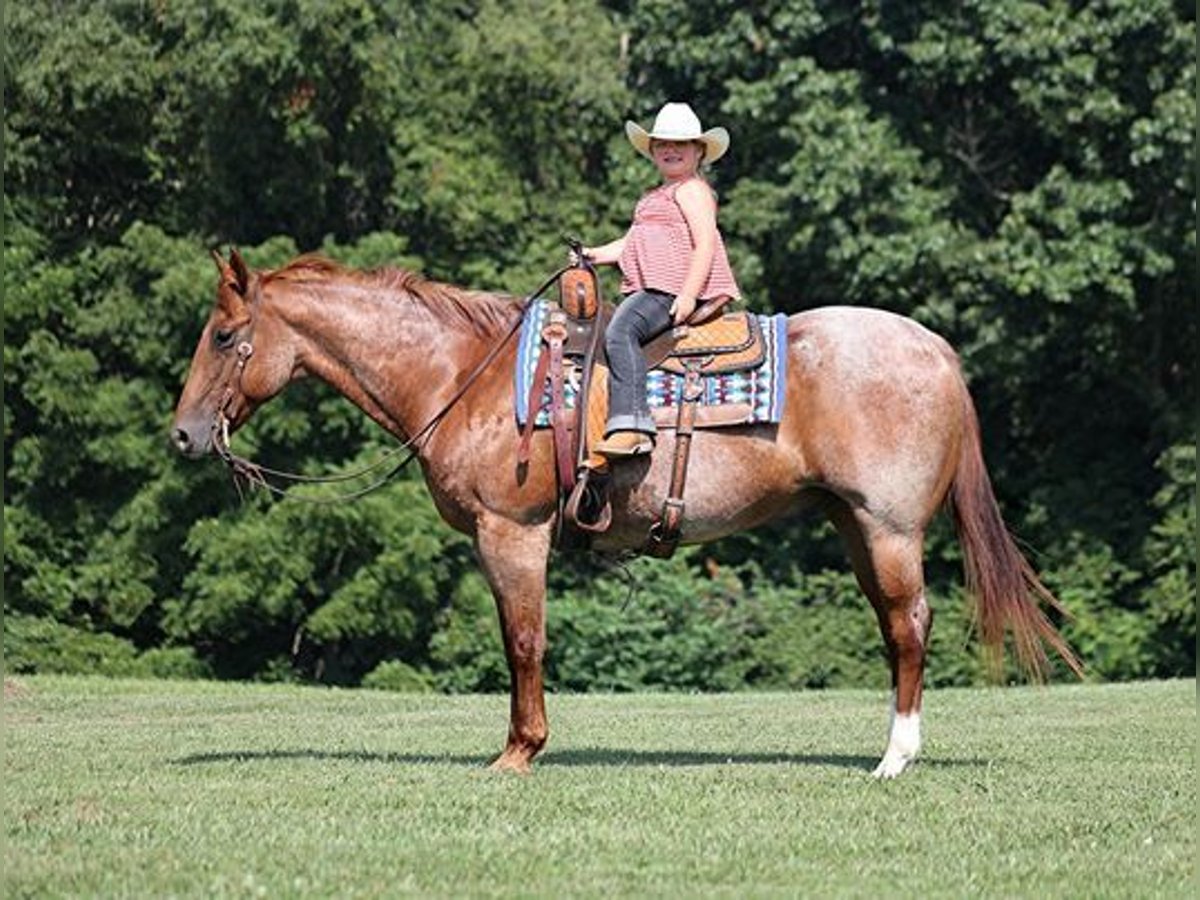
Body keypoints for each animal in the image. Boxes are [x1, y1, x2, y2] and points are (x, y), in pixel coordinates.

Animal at [174, 250, 1084, 777]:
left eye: (221, 336)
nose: (183, 434)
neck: (465, 374)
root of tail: (936, 350)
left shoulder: (513, 534)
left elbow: (524, 641)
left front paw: (519, 753)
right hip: (854, 527)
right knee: (898, 628)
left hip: (888, 528)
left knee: (910, 625)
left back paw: (895, 760)